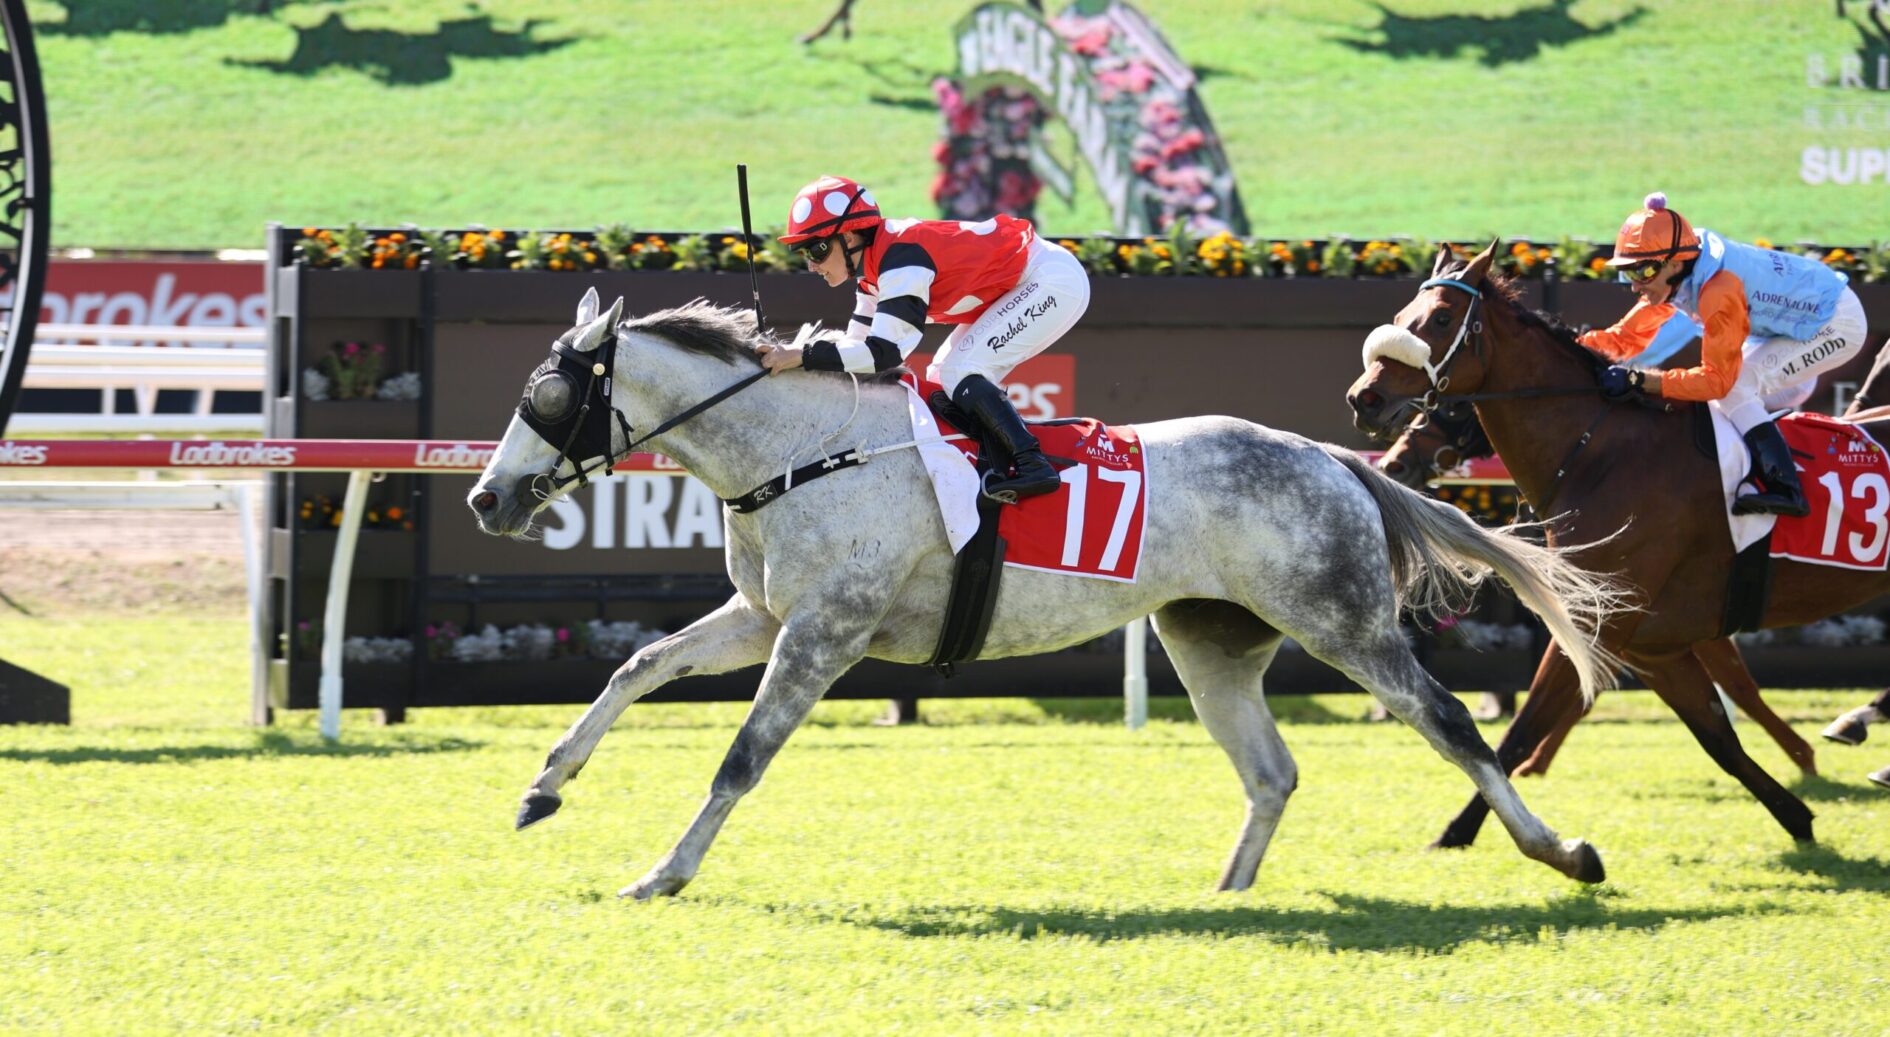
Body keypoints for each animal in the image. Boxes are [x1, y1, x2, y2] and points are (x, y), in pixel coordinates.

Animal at [466, 290, 1628, 899]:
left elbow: (740, 757)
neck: (802, 450)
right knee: (1273, 769)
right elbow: (635, 665)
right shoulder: (764, 617)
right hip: (1211, 643)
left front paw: (663, 870)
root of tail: (1333, 457)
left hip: (1344, 621)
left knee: (1450, 722)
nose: (487, 495)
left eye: (549, 396)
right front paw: (543, 787)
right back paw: (1226, 892)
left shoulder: (824, 631)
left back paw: (1561, 848)